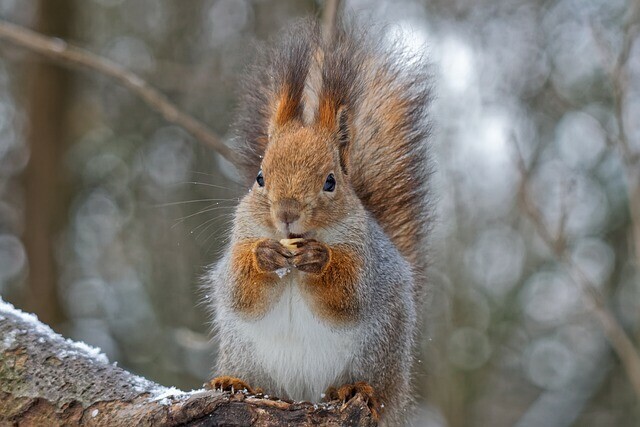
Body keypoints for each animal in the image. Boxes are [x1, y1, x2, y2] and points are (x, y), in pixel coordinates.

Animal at [208, 18, 432, 426]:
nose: (287, 213)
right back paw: (233, 382)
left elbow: (347, 297)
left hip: (378, 357)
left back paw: (355, 390)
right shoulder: (241, 238)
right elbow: (239, 291)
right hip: (246, 354)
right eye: (260, 177)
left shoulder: (366, 259)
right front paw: (264, 255)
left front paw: (318, 259)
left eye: (330, 182)